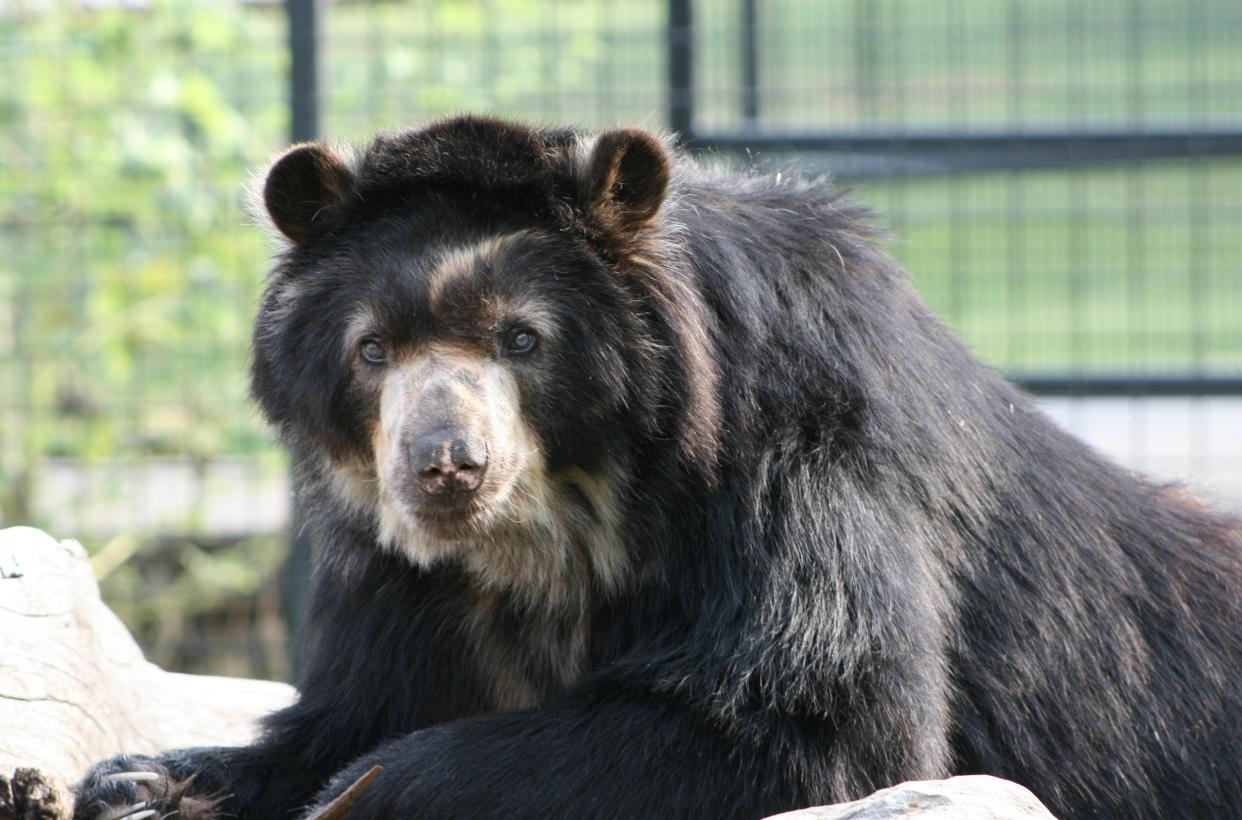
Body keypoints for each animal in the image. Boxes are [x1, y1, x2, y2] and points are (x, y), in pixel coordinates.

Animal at [75, 115, 1242, 820]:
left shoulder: (804, 454)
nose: (445, 467)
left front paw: (364, 791)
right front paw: (134, 779)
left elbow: (814, 720)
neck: (561, 522)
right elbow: (362, 697)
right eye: (372, 350)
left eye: (522, 339)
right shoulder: (406, 574)